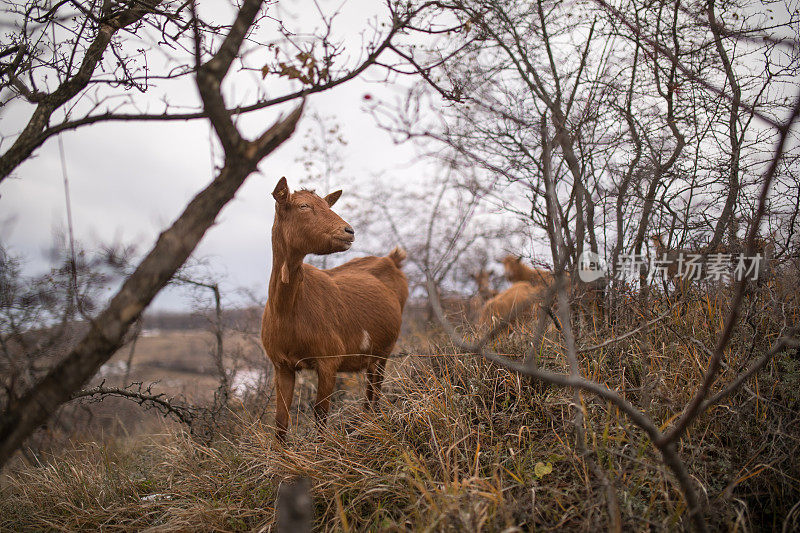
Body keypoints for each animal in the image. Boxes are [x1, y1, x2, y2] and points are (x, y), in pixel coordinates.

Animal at [262, 177, 410, 438]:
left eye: (326, 204)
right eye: (303, 206)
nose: (349, 231)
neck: (288, 311)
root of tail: (391, 260)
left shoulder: (329, 360)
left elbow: (321, 416)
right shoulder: (282, 365)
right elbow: (280, 422)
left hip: (384, 351)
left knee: (374, 392)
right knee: (370, 394)